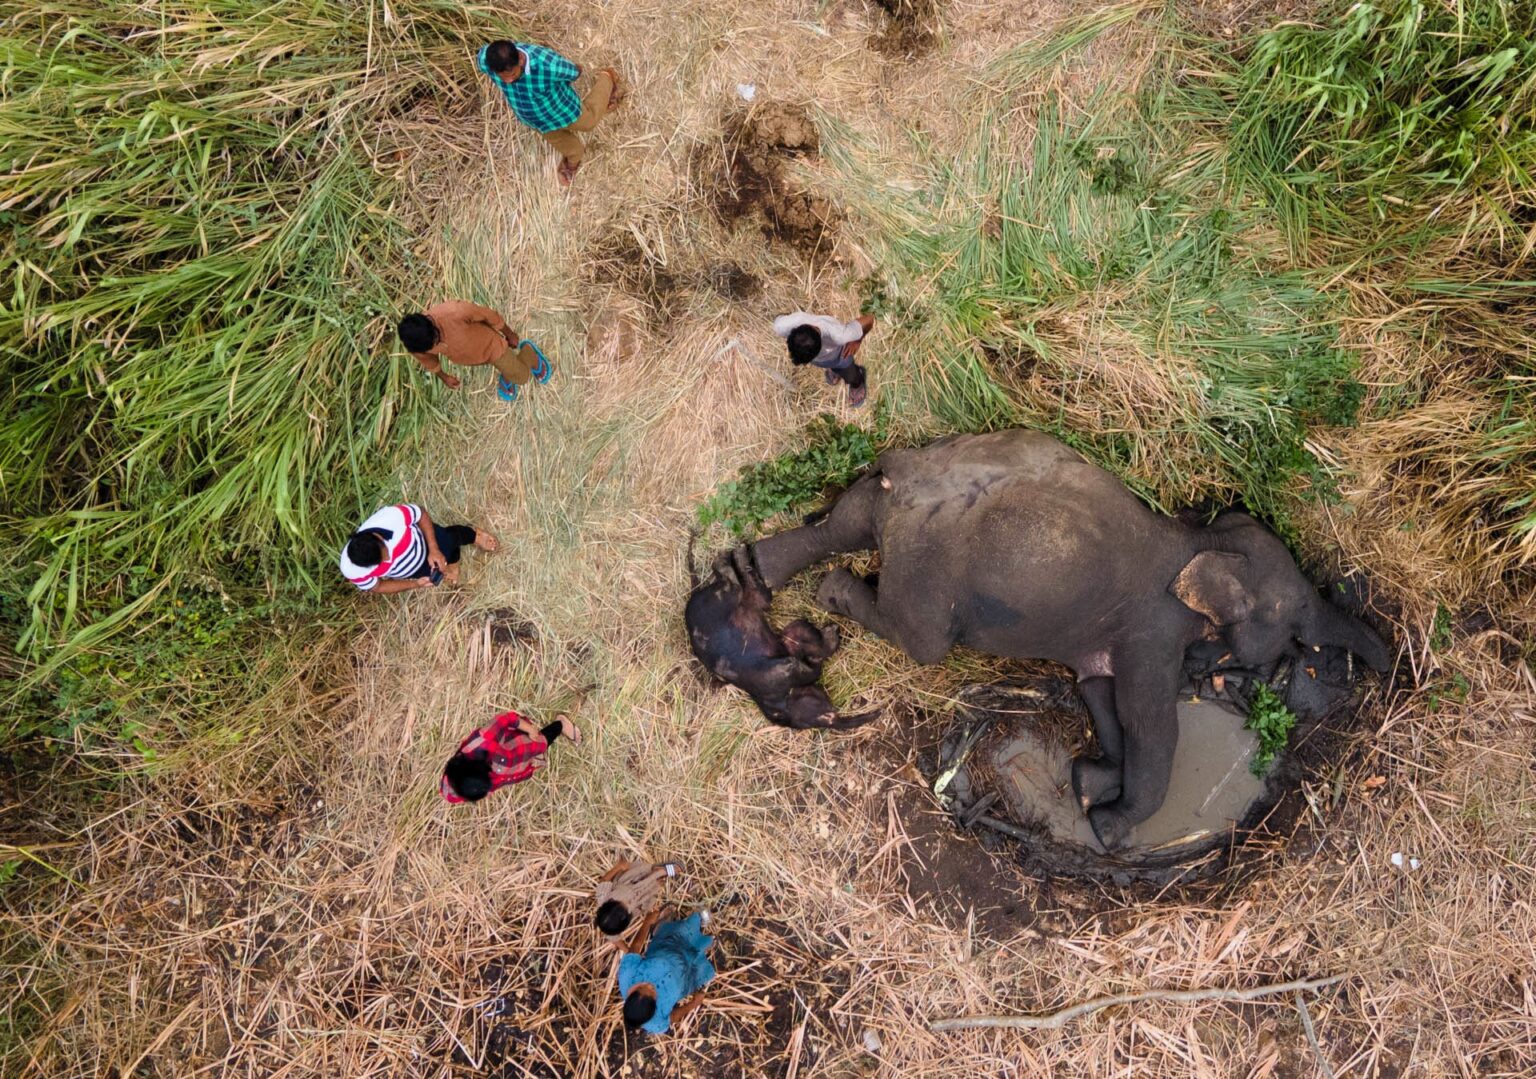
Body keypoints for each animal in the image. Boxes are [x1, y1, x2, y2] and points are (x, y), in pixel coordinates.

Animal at [749, 430, 1400, 854]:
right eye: (1296, 620)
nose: (1395, 667)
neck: (1199, 541)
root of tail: (907, 466)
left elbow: (1100, 696)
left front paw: (1090, 783)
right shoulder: (1153, 629)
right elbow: (1148, 724)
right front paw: (1108, 827)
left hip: (884, 502)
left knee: (840, 522)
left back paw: (756, 568)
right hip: (926, 565)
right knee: (920, 636)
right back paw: (831, 591)